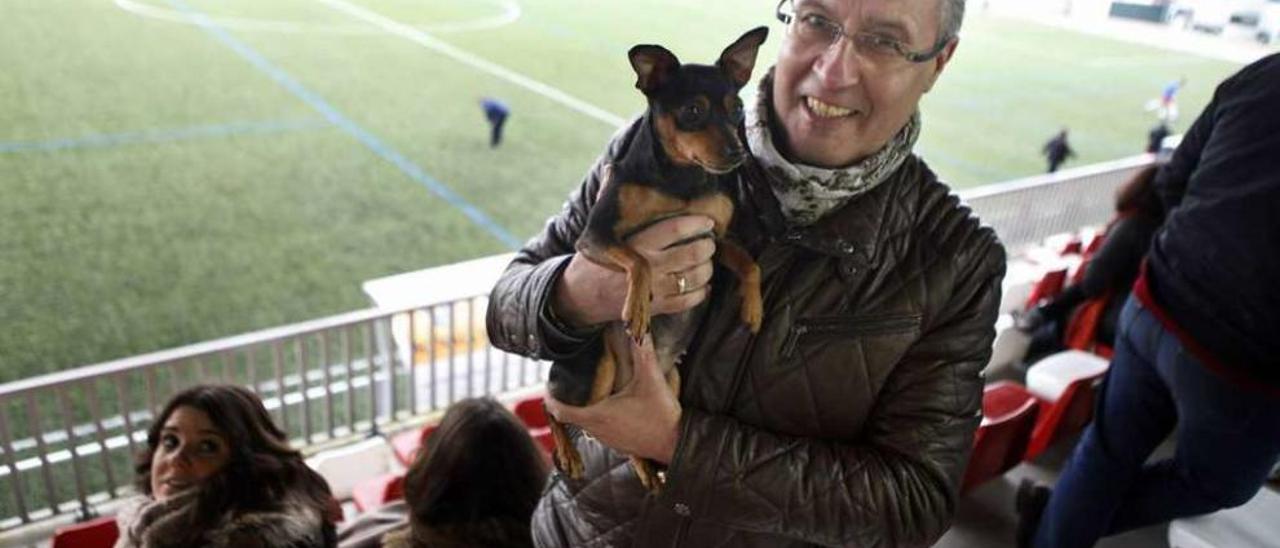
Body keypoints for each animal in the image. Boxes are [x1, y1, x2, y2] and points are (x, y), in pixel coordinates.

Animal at [542, 26, 762, 491]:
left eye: (736, 109)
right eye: (693, 111)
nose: (737, 153)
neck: (682, 180)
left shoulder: (716, 237)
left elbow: (750, 263)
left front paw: (753, 310)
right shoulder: (595, 236)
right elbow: (639, 260)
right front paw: (638, 307)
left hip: (671, 380)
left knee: (624, 438)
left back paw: (648, 470)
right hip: (594, 370)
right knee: (555, 406)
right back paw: (569, 453)